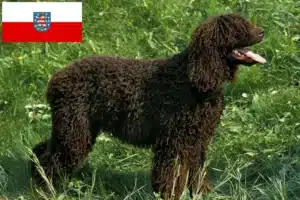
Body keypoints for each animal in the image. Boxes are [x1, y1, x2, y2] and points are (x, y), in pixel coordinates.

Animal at [31, 13, 264, 199]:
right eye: (238, 28)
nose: (262, 31)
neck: (193, 79)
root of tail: (56, 79)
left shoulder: (197, 141)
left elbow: (197, 172)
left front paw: (202, 193)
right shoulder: (174, 143)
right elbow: (171, 175)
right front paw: (170, 195)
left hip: (76, 128)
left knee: (42, 150)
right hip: (74, 130)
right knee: (50, 160)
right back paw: (45, 190)